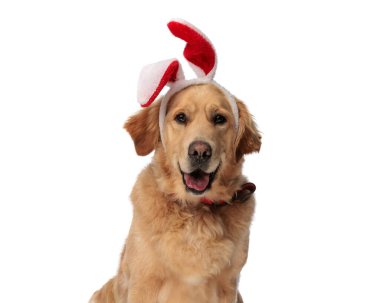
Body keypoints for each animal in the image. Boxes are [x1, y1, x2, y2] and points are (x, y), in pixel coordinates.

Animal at [89, 81, 262, 303]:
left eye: (219, 119)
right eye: (181, 117)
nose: (200, 151)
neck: (196, 210)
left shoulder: (228, 285)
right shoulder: (144, 282)